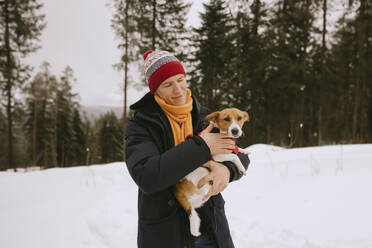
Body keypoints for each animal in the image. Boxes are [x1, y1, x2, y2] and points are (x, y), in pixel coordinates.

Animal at [174, 107, 250, 235]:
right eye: (226, 119)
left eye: (239, 118)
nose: (235, 131)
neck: (219, 131)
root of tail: (177, 191)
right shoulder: (217, 155)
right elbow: (234, 156)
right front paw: (241, 168)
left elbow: (236, 150)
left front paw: (243, 150)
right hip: (202, 173)